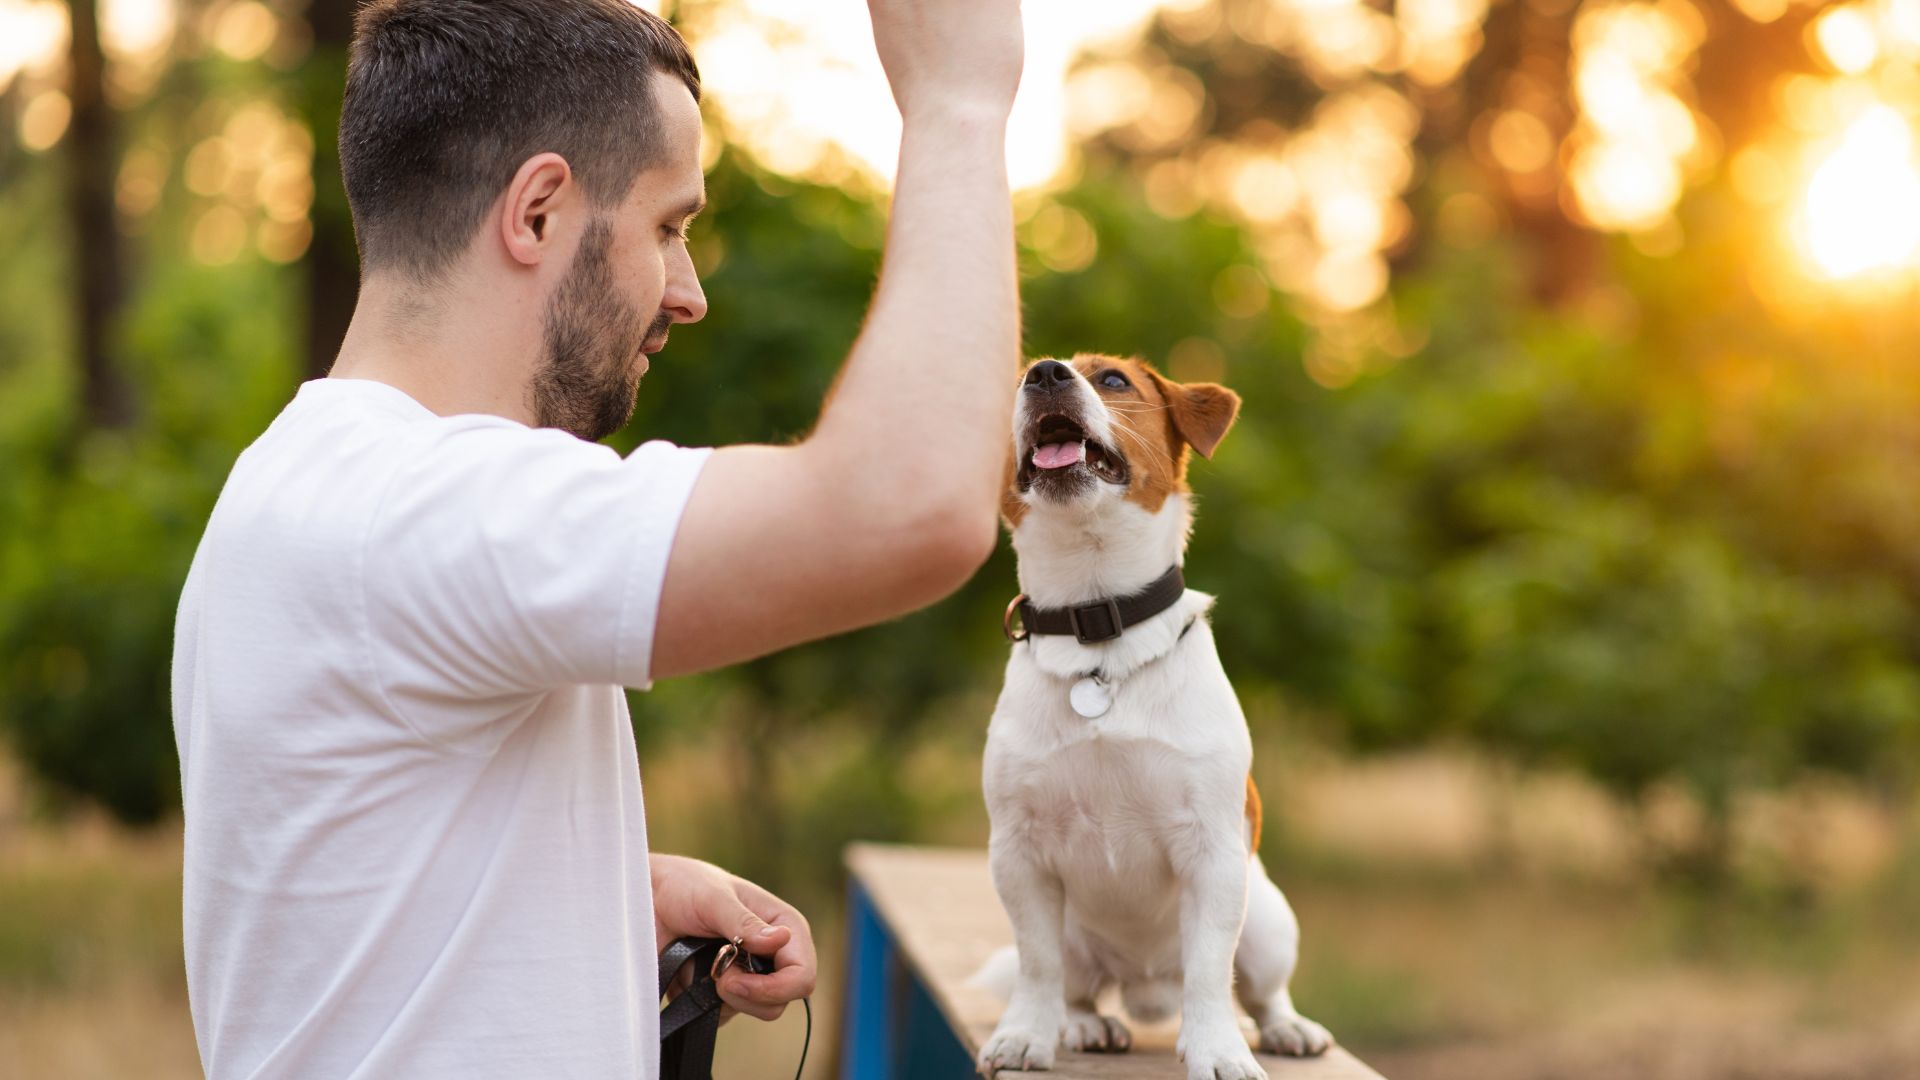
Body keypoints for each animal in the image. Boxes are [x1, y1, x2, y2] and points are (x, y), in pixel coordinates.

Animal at [983, 355, 1328, 1076]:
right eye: (1015, 382)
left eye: (1113, 379)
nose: (1044, 373)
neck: (1097, 628)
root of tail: (1145, 988)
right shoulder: (1019, 856)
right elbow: (1036, 965)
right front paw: (1025, 1034)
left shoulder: (1213, 854)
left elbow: (1210, 974)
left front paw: (1217, 1049)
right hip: (1079, 939)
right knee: (1075, 987)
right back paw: (1085, 1025)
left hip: (1268, 921)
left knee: (1256, 990)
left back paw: (1286, 1027)